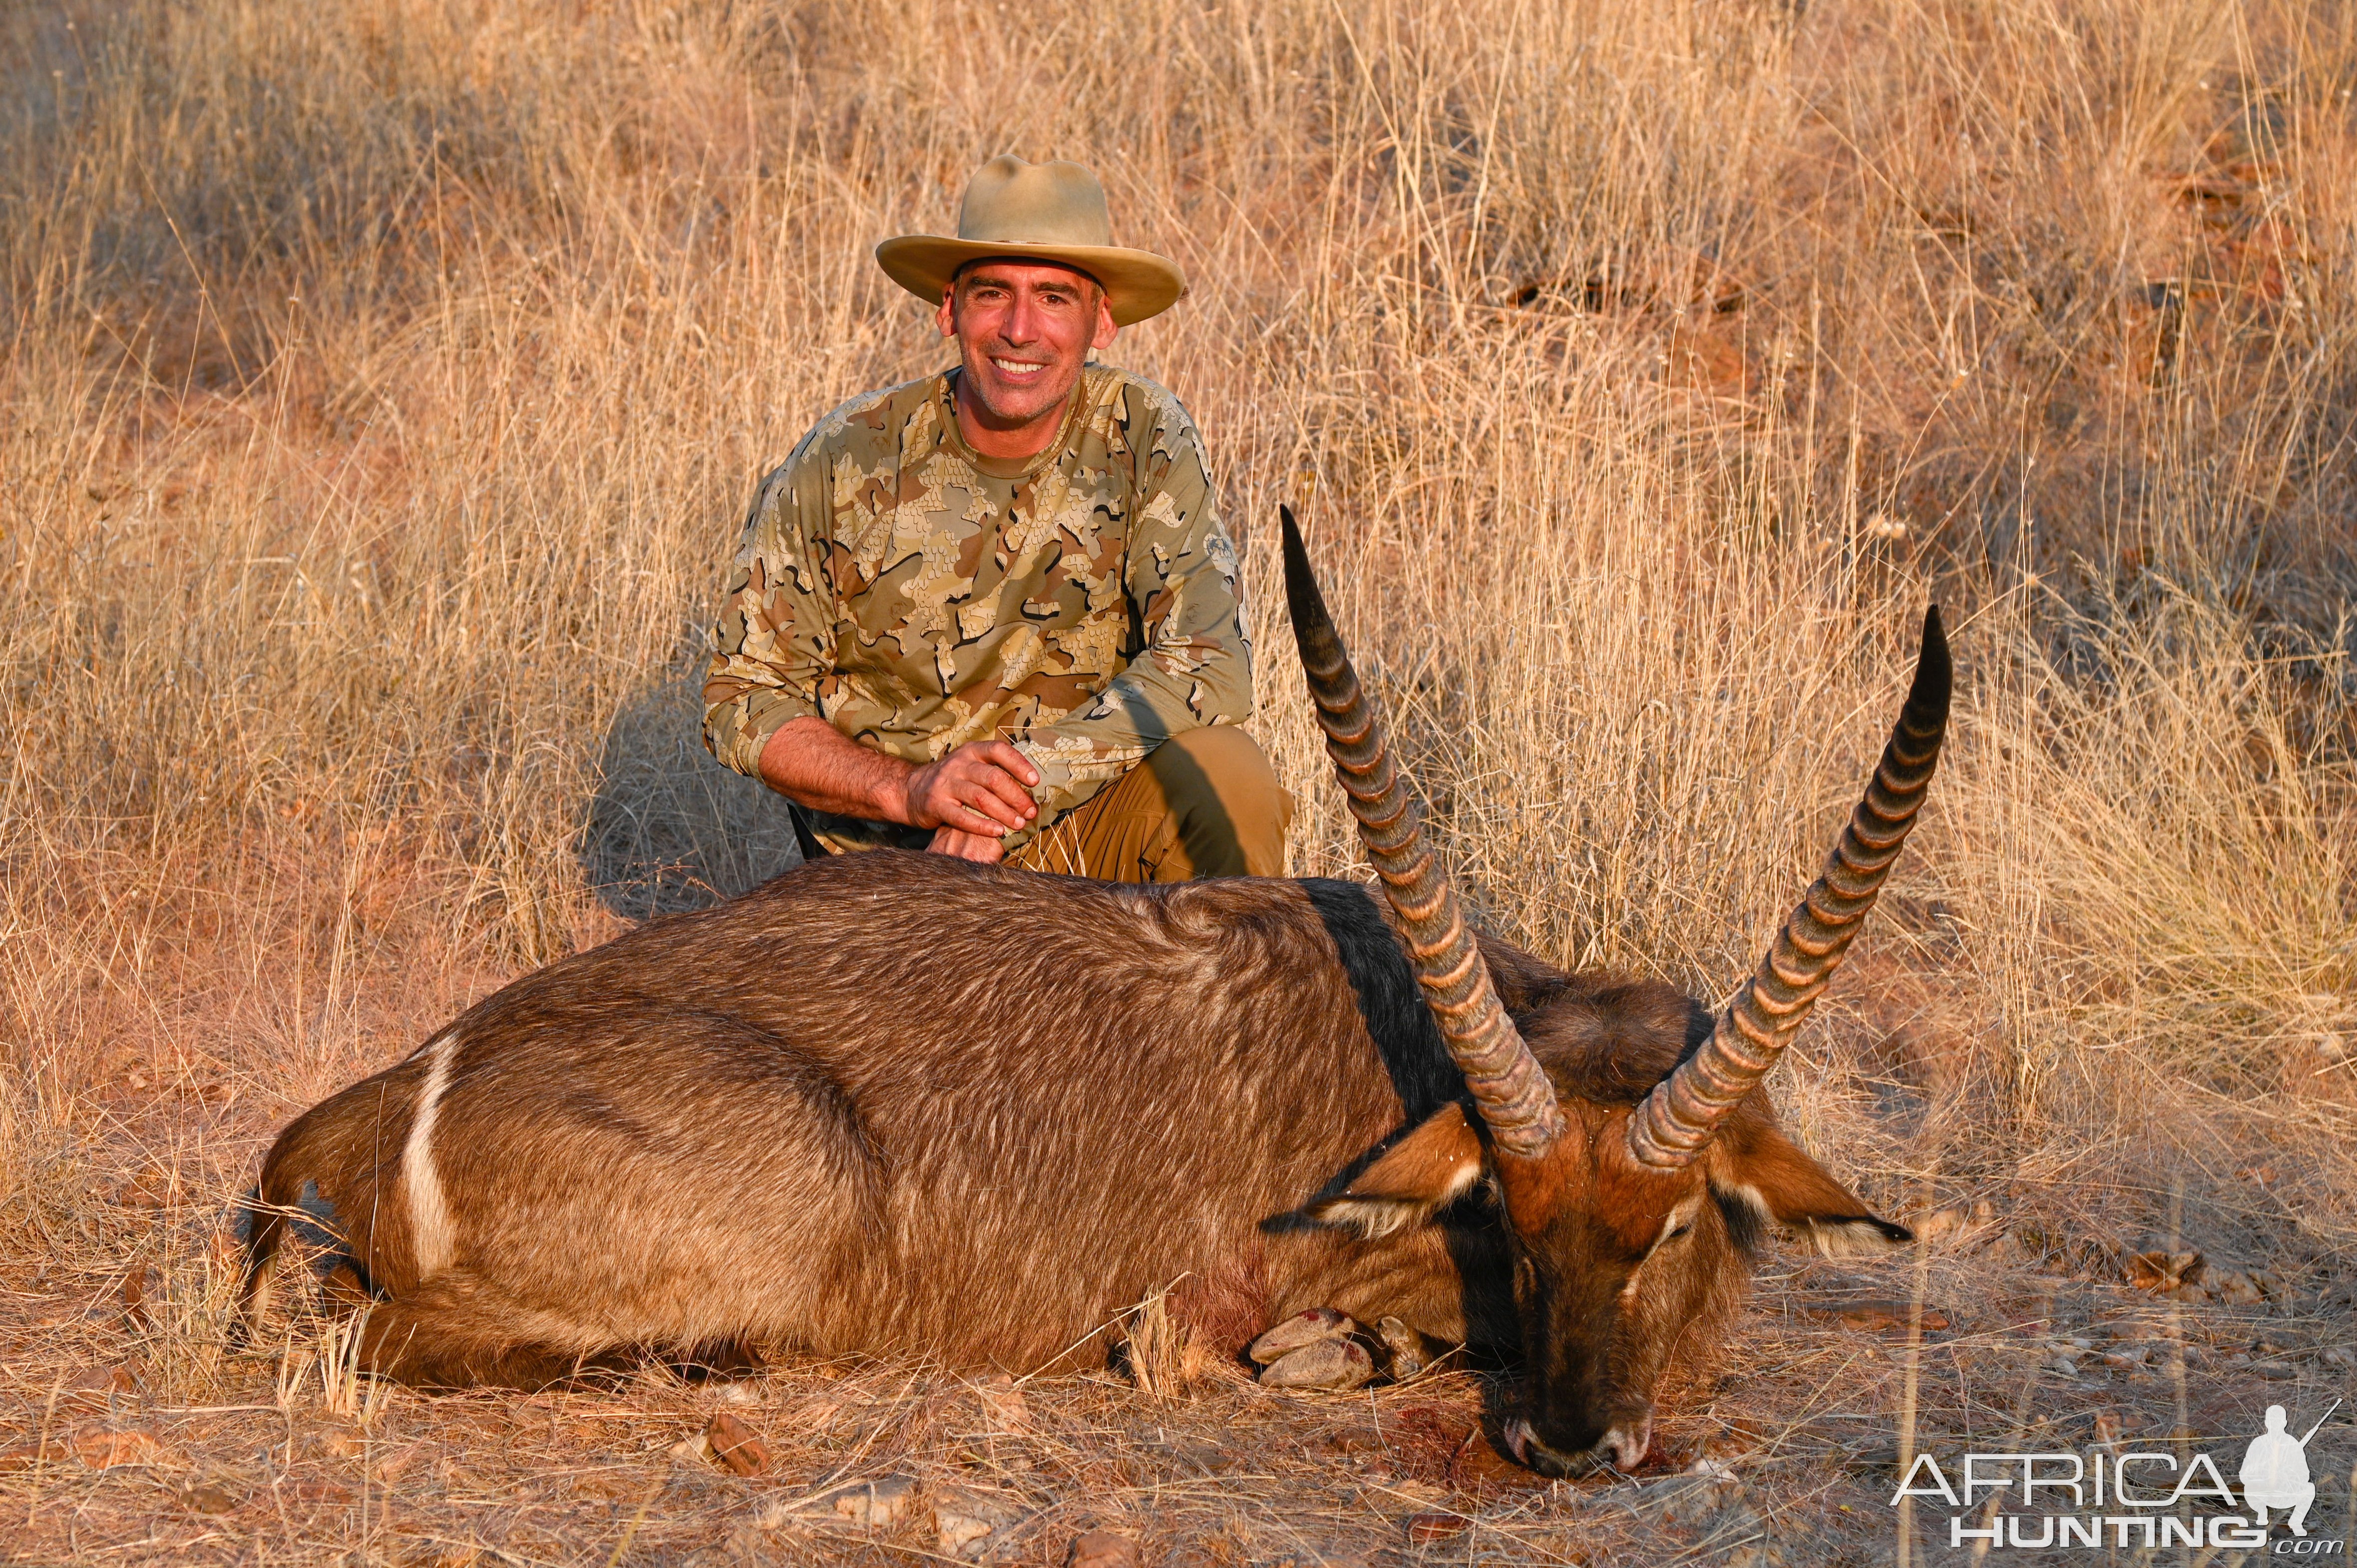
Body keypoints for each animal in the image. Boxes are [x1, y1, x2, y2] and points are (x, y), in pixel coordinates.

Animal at [234, 507, 1952, 1471]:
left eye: (1668, 1228)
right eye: (1514, 1227)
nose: (1574, 1441)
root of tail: (385, 1088)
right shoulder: (1198, 1305)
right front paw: (1351, 1353)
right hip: (792, 1180)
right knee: (359, 1340)